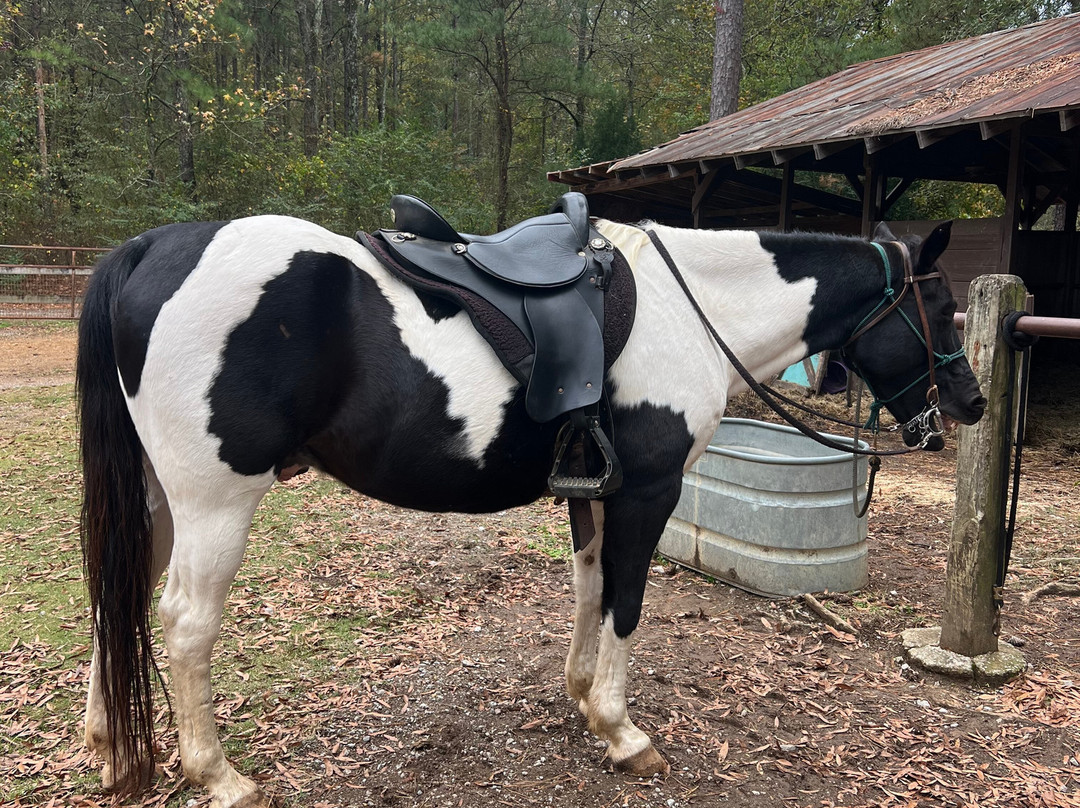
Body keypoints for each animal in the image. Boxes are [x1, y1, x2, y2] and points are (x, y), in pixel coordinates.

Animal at [76, 214, 989, 808]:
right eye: (941, 309)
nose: (972, 404)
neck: (693, 309)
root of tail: (150, 248)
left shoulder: (594, 491)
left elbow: (589, 588)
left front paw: (583, 697)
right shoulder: (648, 492)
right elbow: (627, 603)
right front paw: (623, 733)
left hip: (157, 499)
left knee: (116, 597)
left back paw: (112, 750)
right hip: (214, 502)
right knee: (185, 624)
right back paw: (218, 776)